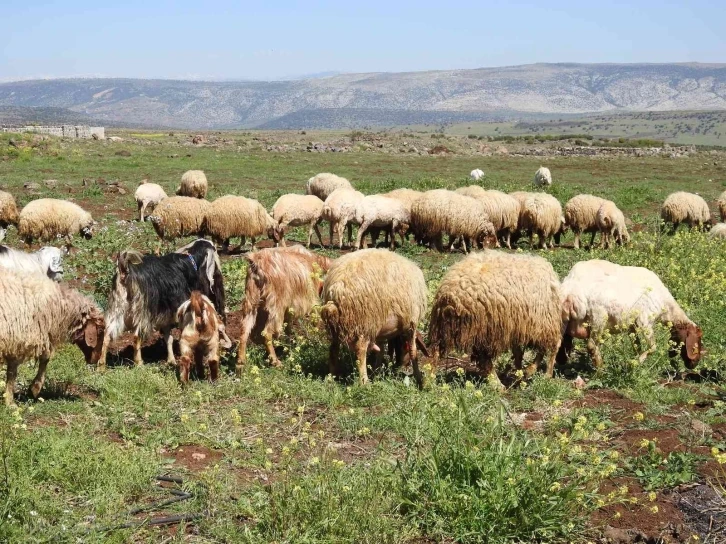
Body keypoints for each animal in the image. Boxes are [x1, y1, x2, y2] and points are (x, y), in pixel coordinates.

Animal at [0, 270, 105, 406]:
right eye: (100, 331)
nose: (96, 359)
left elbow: (44, 358)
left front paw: (31, 389)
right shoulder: (20, 340)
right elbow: (14, 372)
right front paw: (13, 400)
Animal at [97, 240, 228, 368]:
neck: (192, 262)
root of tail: (124, 271)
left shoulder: (166, 315)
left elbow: (168, 337)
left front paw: (171, 360)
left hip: (117, 308)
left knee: (107, 335)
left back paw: (101, 365)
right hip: (142, 311)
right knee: (136, 336)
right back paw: (139, 363)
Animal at [236, 246, 332, 374]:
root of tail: (256, 261)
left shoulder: (289, 308)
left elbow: (289, 328)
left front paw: (290, 347)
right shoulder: (311, 301)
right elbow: (314, 321)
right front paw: (316, 340)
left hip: (251, 299)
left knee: (244, 331)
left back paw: (240, 363)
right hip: (277, 306)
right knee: (266, 333)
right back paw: (275, 362)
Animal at [430, 250, 564, 380]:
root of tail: (450, 296)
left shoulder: (517, 324)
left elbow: (519, 351)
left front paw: (520, 371)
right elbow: (547, 347)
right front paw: (531, 372)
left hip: (444, 327)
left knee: (435, 354)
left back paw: (429, 380)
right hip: (485, 328)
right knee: (484, 359)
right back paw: (499, 383)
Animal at [556, 260, 704, 370]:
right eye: (697, 342)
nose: (694, 364)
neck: (666, 306)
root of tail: (572, 288)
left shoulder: (632, 326)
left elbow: (636, 346)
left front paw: (635, 364)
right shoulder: (644, 321)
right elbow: (653, 347)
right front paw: (636, 362)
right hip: (598, 316)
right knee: (592, 346)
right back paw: (600, 370)